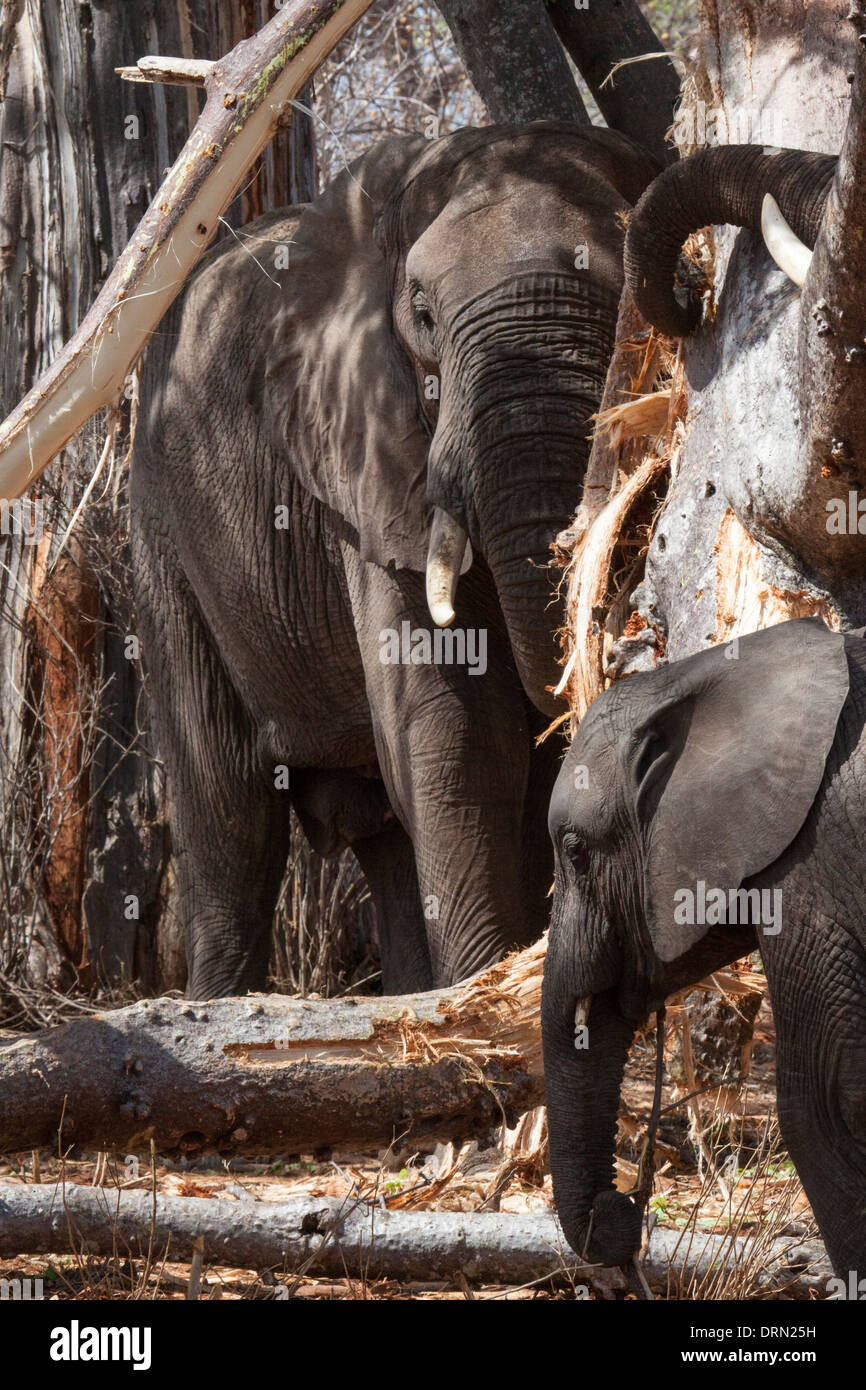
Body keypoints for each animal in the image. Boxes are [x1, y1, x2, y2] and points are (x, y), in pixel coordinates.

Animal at [130, 121, 661, 999]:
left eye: (635, 298)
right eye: (422, 315)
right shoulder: (359, 453)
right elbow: (458, 728)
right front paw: (487, 992)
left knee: (374, 830)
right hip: (164, 532)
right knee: (229, 815)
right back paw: (219, 1003)